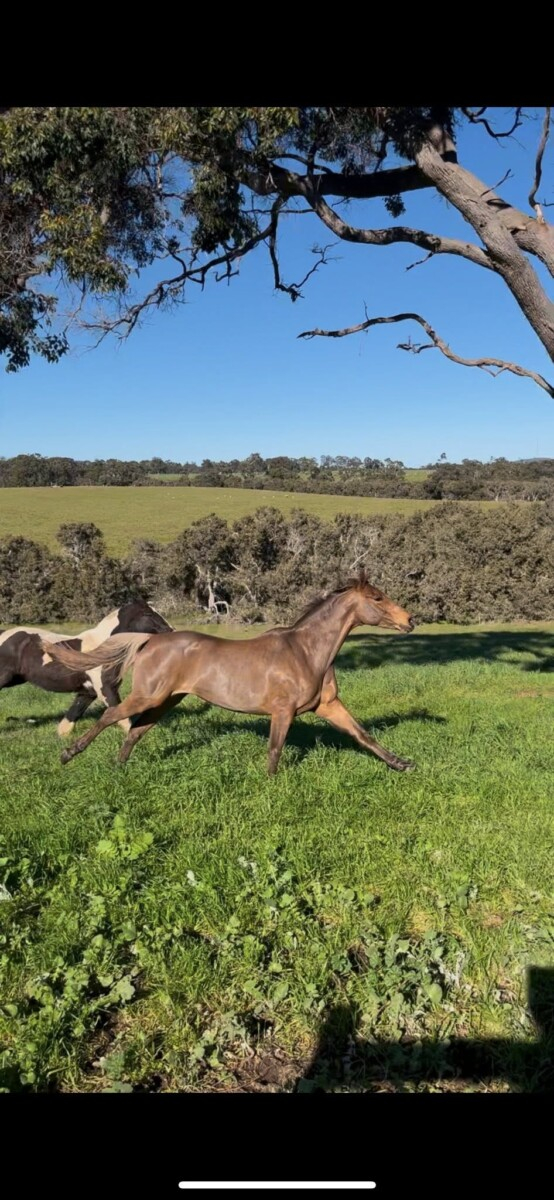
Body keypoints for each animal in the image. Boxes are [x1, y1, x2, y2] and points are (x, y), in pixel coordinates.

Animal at [0, 601, 173, 737]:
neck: (104, 649)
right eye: (148, 614)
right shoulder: (106, 689)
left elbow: (69, 720)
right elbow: (123, 719)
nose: (171, 631)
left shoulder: (88, 692)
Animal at [41, 571, 416, 775]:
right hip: (148, 696)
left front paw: (402, 764)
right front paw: (271, 785)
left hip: (168, 700)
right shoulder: (283, 711)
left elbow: (364, 736)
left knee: (135, 731)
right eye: (377, 598)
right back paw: (68, 754)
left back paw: (119, 768)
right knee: (112, 716)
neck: (307, 652)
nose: (410, 620)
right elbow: (275, 750)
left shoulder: (328, 706)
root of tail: (151, 640)